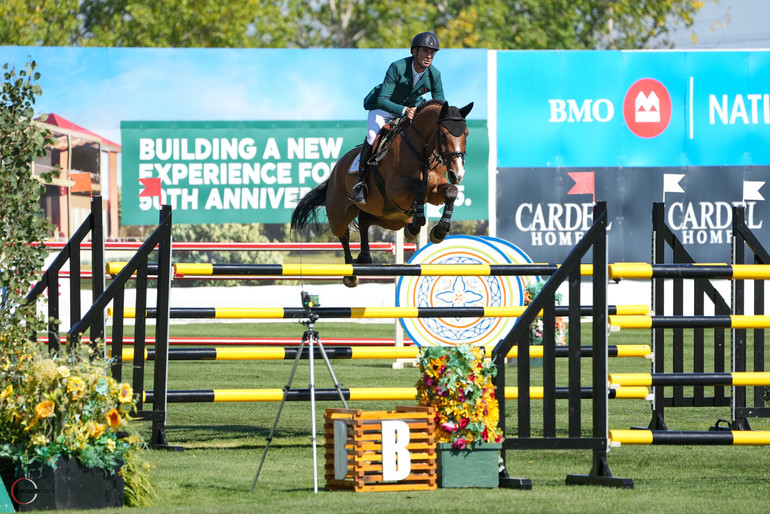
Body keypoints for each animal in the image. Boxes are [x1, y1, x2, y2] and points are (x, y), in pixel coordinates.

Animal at [292, 99, 474, 284]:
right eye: (443, 134)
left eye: (466, 134)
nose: (457, 174)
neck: (422, 151)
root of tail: (336, 169)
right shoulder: (395, 189)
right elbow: (419, 187)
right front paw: (416, 225)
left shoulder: (435, 190)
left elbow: (451, 192)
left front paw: (440, 230)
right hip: (339, 215)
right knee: (343, 234)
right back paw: (351, 272)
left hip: (390, 217)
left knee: (364, 220)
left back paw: (365, 256)